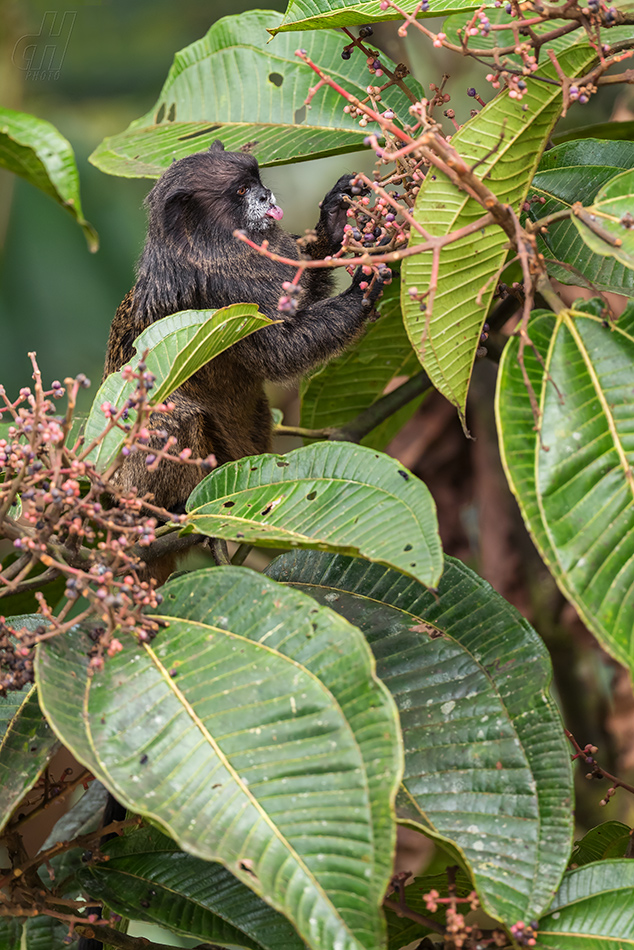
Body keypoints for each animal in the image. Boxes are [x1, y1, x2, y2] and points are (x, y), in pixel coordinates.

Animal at [103, 139, 386, 516]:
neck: (213, 246)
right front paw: (363, 290)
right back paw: (170, 507)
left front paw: (334, 221)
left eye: (258, 182)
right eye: (242, 191)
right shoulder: (223, 295)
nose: (267, 196)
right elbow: (282, 354)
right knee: (174, 418)